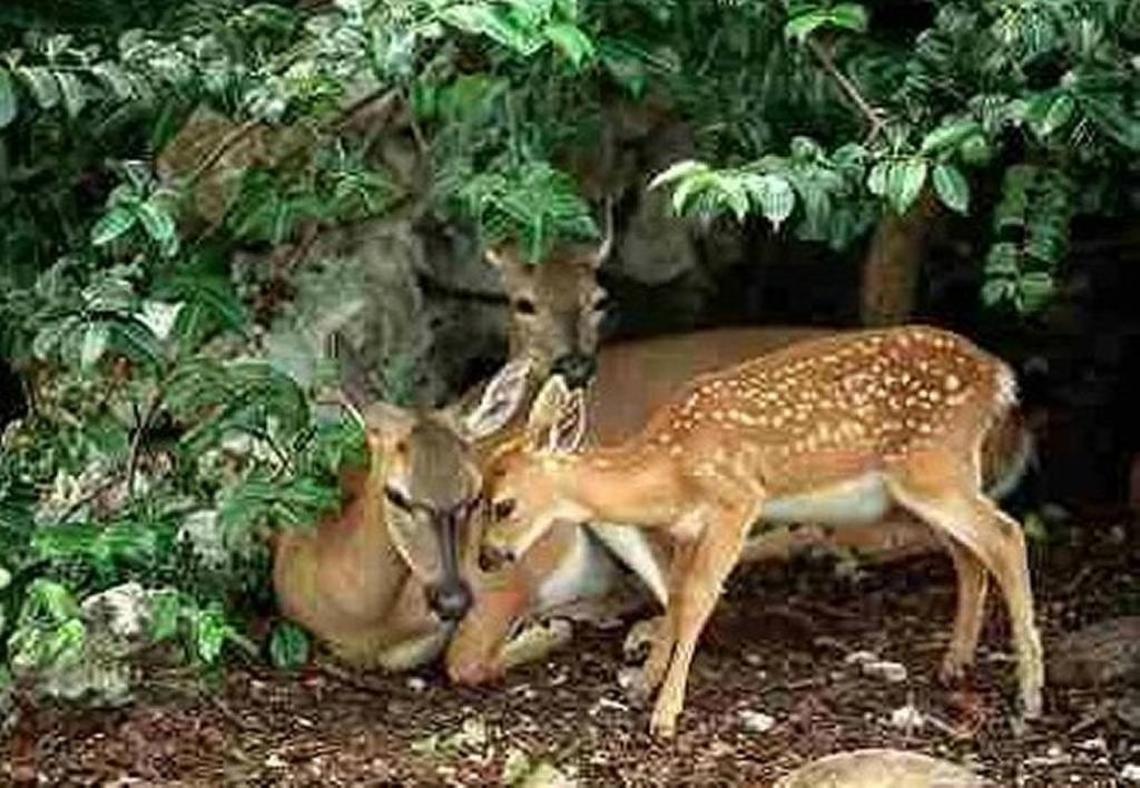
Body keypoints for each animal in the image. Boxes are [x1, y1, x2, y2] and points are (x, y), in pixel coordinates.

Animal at [479, 325, 1045, 738]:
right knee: (971, 555)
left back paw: (1029, 696)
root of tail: (997, 376)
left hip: (934, 467)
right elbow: (676, 595)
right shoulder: (687, 530)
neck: (669, 467)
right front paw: (642, 684)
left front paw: (665, 714)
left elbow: (700, 598)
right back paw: (955, 666)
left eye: (504, 506)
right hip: (929, 482)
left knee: (1007, 534)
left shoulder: (737, 500)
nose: (487, 557)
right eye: (478, 493)